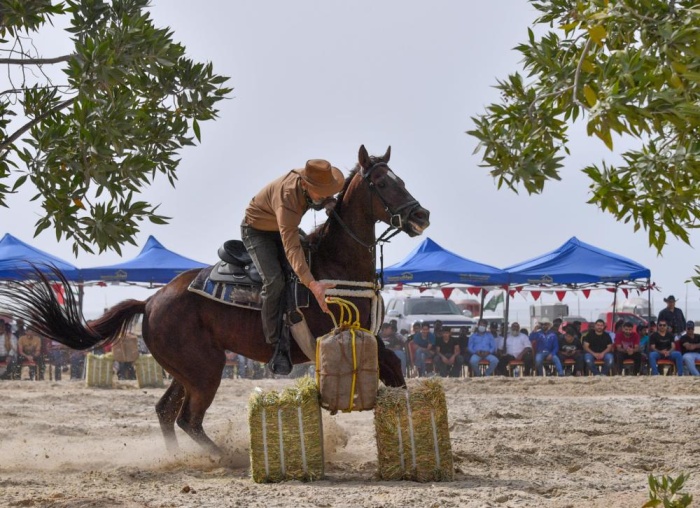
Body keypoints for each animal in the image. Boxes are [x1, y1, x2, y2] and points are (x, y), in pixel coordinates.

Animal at [1, 145, 432, 454]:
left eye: (401, 179)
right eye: (383, 184)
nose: (421, 215)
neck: (332, 263)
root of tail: (151, 302)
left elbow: (395, 368)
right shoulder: (347, 334)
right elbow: (393, 364)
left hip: (187, 371)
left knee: (166, 412)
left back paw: (179, 459)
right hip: (205, 369)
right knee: (187, 419)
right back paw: (224, 457)